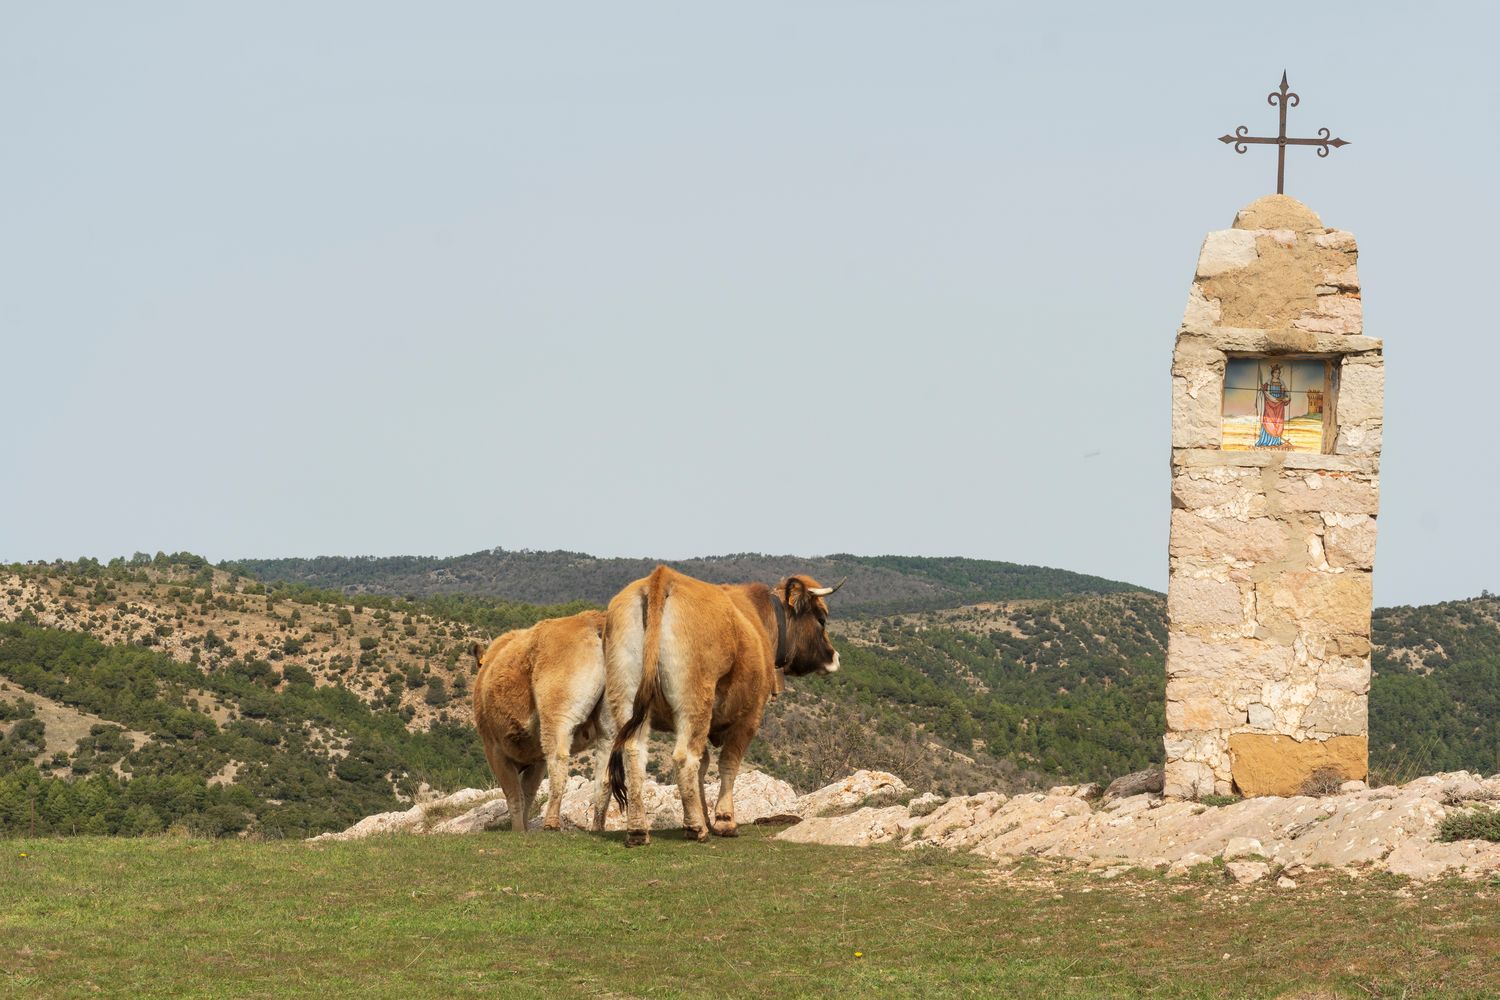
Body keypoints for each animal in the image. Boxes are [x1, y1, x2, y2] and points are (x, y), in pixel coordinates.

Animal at [468, 611, 615, 839]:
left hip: (557, 715)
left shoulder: (494, 750)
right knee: (605, 773)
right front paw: (524, 828)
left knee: (559, 761)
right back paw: (597, 827)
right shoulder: (536, 760)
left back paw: (551, 822)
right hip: (609, 721)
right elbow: (528, 793)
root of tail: (593, 621)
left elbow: (514, 794)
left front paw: (518, 830)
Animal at [606, 566, 846, 851]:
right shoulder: (750, 717)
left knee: (634, 752)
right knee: (684, 757)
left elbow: (704, 765)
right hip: (696, 701)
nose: (835, 656)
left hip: (628, 699)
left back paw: (637, 830)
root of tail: (663, 577)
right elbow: (728, 763)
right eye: (821, 619)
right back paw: (696, 829)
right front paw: (723, 820)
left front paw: (706, 815)